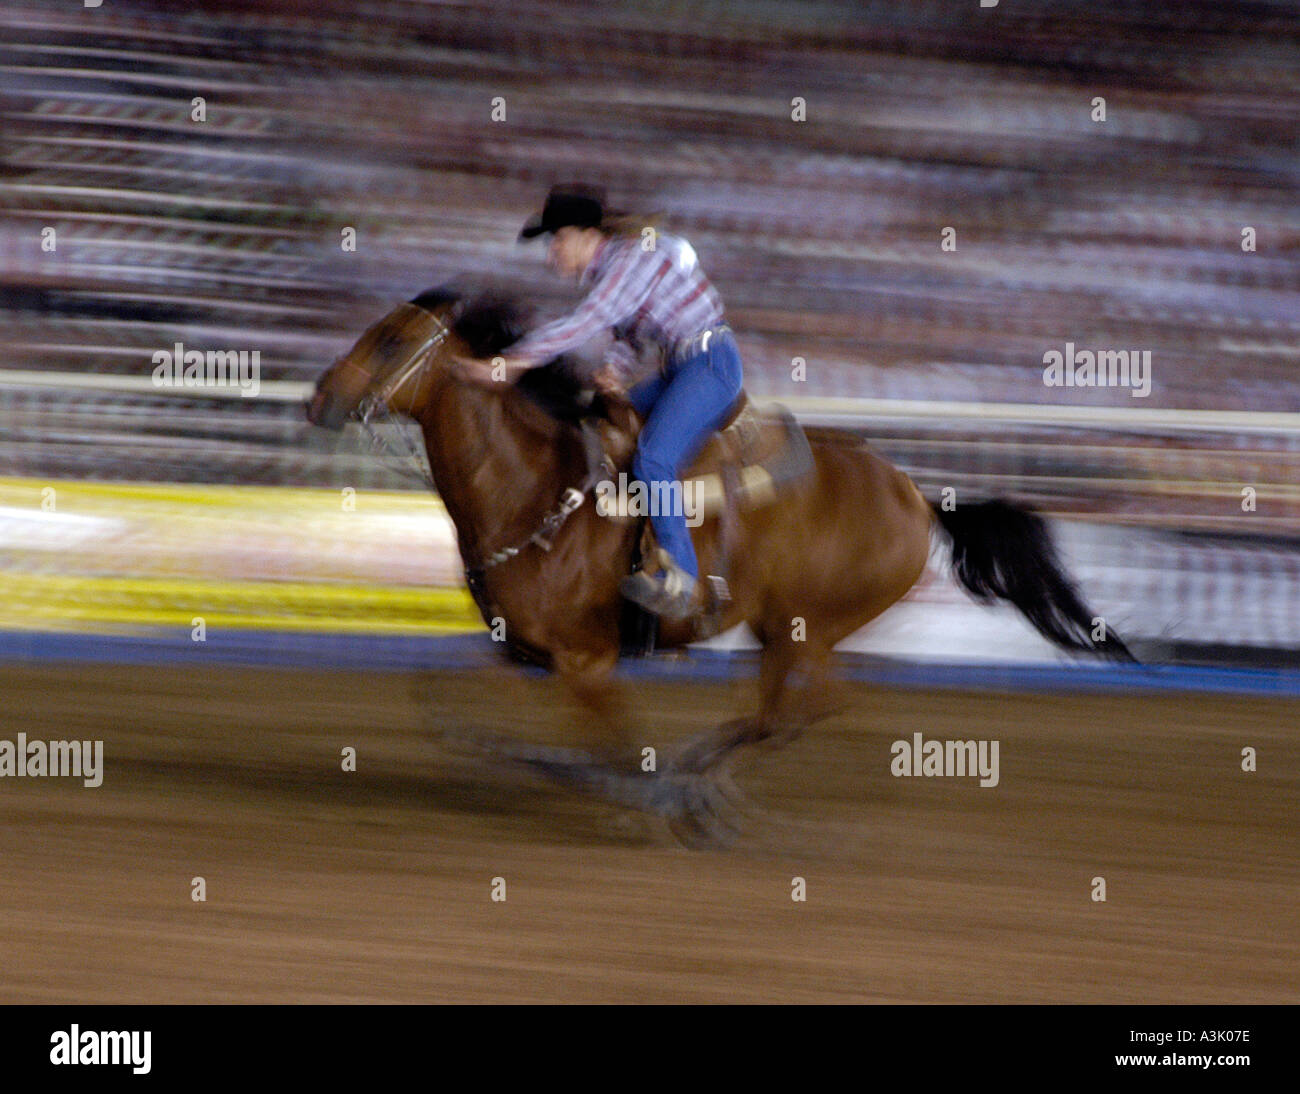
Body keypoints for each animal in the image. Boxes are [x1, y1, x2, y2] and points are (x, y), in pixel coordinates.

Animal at [309, 287, 1133, 836]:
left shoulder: (587, 663)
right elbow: (438, 698)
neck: (535, 491)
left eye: (391, 342)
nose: (321, 397)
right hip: (781, 631)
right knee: (783, 711)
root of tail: (916, 496)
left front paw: (632, 798)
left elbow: (616, 741)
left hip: (805, 627)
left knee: (801, 708)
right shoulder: (524, 653)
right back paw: (701, 782)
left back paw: (698, 788)